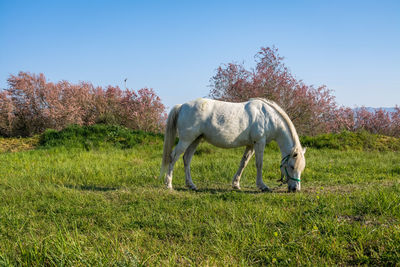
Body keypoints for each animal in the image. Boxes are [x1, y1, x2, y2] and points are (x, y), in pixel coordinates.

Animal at [159, 98, 306, 193]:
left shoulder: (250, 145)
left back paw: (191, 185)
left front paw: (236, 184)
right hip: (186, 139)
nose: (295, 189)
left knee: (186, 158)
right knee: (173, 157)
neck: (268, 116)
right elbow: (259, 164)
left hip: (195, 139)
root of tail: (182, 106)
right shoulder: (260, 142)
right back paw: (169, 184)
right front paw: (262, 186)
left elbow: (243, 163)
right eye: (292, 166)